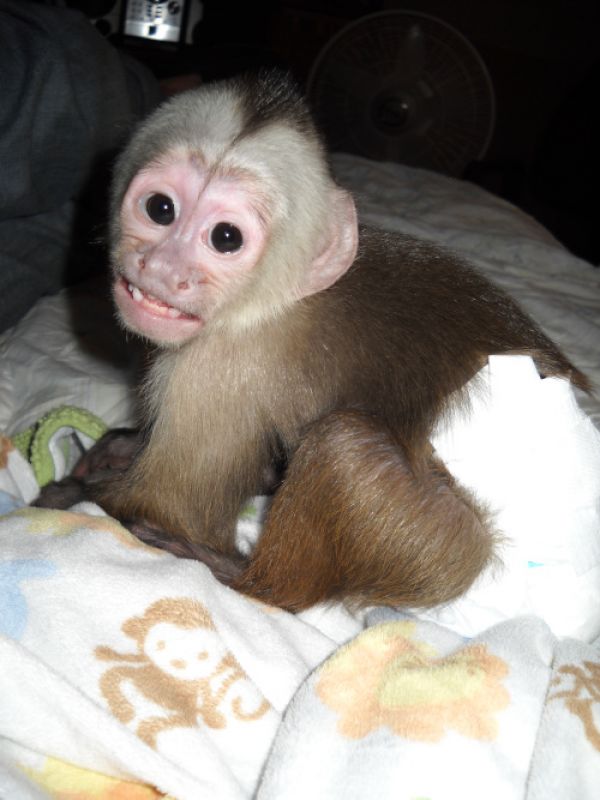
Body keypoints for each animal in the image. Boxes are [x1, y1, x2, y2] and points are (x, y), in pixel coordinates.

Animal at [35, 71, 589, 612]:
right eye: (160, 207)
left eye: (226, 238)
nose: (163, 269)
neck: (271, 300)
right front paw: (120, 445)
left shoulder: (216, 373)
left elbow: (166, 505)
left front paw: (67, 496)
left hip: (441, 543)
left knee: (344, 446)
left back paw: (241, 575)